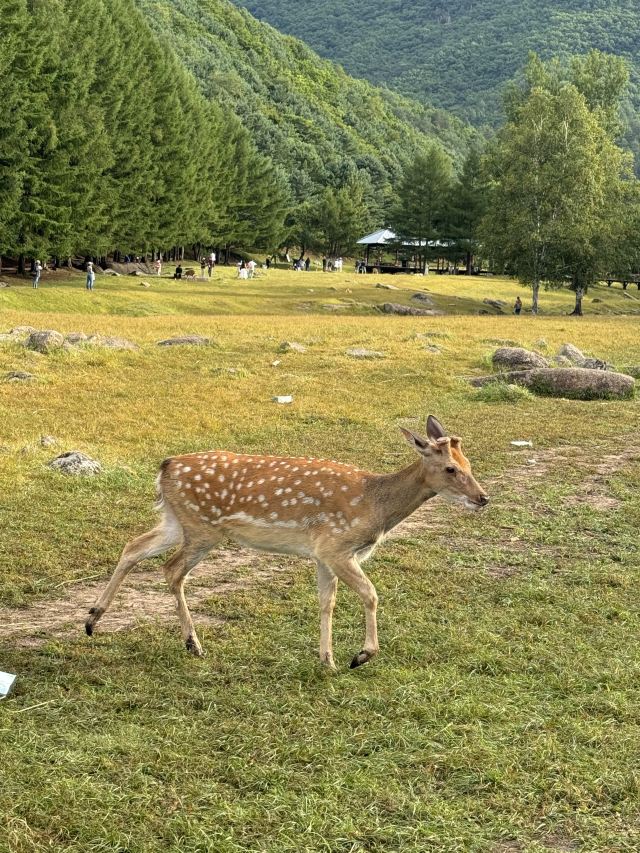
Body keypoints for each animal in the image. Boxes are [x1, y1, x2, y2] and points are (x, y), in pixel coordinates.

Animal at [85, 416, 489, 669]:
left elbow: (326, 602)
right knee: (171, 570)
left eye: (469, 463)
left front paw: (327, 660)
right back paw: (192, 643)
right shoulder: (336, 545)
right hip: (203, 528)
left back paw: (92, 619)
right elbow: (371, 594)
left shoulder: (323, 554)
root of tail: (165, 466)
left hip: (176, 520)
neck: (375, 506)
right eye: (450, 468)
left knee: (134, 546)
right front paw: (360, 656)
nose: (483, 498)